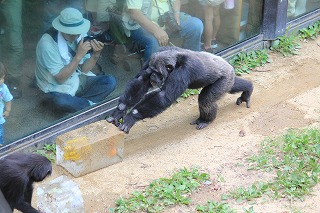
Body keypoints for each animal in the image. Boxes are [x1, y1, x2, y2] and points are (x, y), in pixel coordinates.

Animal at [107, 46, 252, 133]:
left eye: (157, 72)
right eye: (151, 70)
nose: (152, 75)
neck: (176, 61)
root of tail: (228, 65)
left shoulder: (184, 71)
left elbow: (164, 97)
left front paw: (132, 117)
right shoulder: (152, 58)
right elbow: (141, 81)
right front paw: (119, 112)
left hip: (224, 79)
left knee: (206, 99)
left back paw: (205, 120)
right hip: (228, 79)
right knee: (232, 86)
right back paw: (248, 89)